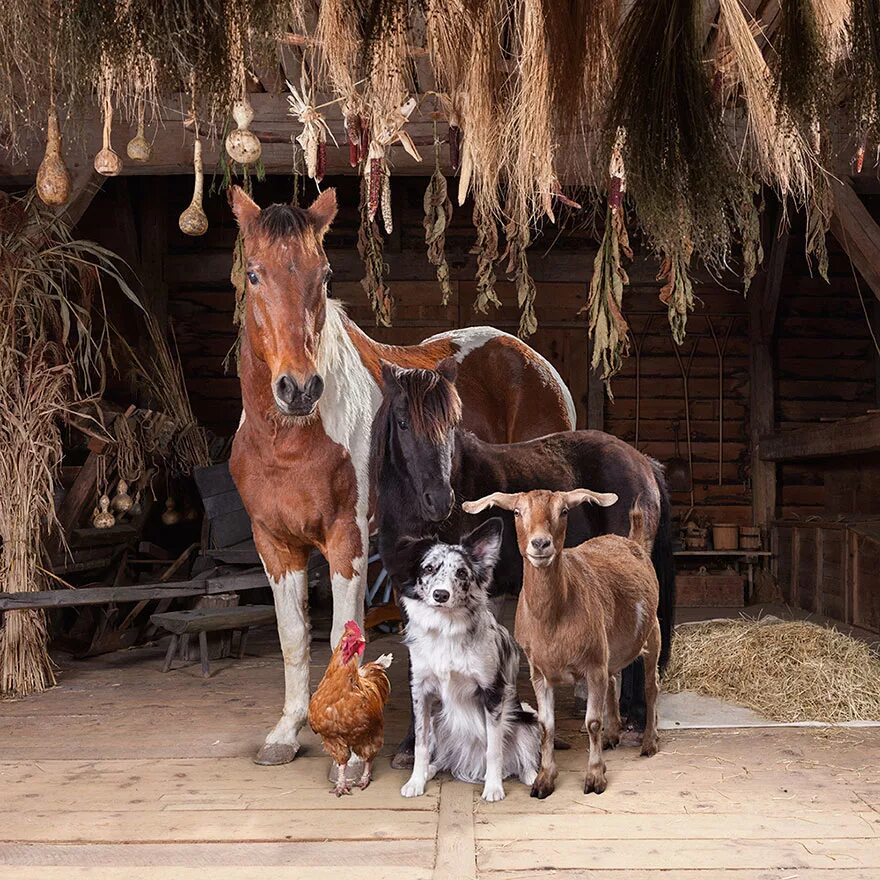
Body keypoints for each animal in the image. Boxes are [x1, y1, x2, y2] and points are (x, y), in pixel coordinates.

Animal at [227, 187, 576, 764]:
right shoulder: (274, 544)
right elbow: (293, 636)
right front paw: (286, 733)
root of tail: (536, 363)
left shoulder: (346, 542)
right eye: (253, 274)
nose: (298, 388)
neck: (291, 438)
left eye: (324, 276)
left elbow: (342, 635)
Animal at [374, 358, 676, 764]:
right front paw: (414, 745)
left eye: (452, 423)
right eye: (403, 422)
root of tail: (644, 463)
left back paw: (634, 722)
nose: (440, 500)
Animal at [396, 520, 540, 800]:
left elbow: (493, 748)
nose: (441, 595)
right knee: (440, 755)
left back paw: (530, 776)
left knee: (521, 757)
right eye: (428, 568)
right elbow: (420, 744)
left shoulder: (492, 692)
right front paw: (416, 781)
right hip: (439, 721)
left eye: (462, 573)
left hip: (525, 717)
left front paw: (493, 787)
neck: (446, 629)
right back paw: (431, 769)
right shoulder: (420, 691)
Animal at [460, 488, 660, 796]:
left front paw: (595, 777)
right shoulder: (539, 671)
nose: (540, 543)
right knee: (615, 679)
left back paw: (649, 742)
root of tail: (633, 541)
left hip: (652, 632)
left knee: (651, 687)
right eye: (517, 512)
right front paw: (544, 779)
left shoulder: (593, 666)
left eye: (564, 511)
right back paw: (612, 735)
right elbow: (547, 726)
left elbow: (592, 722)